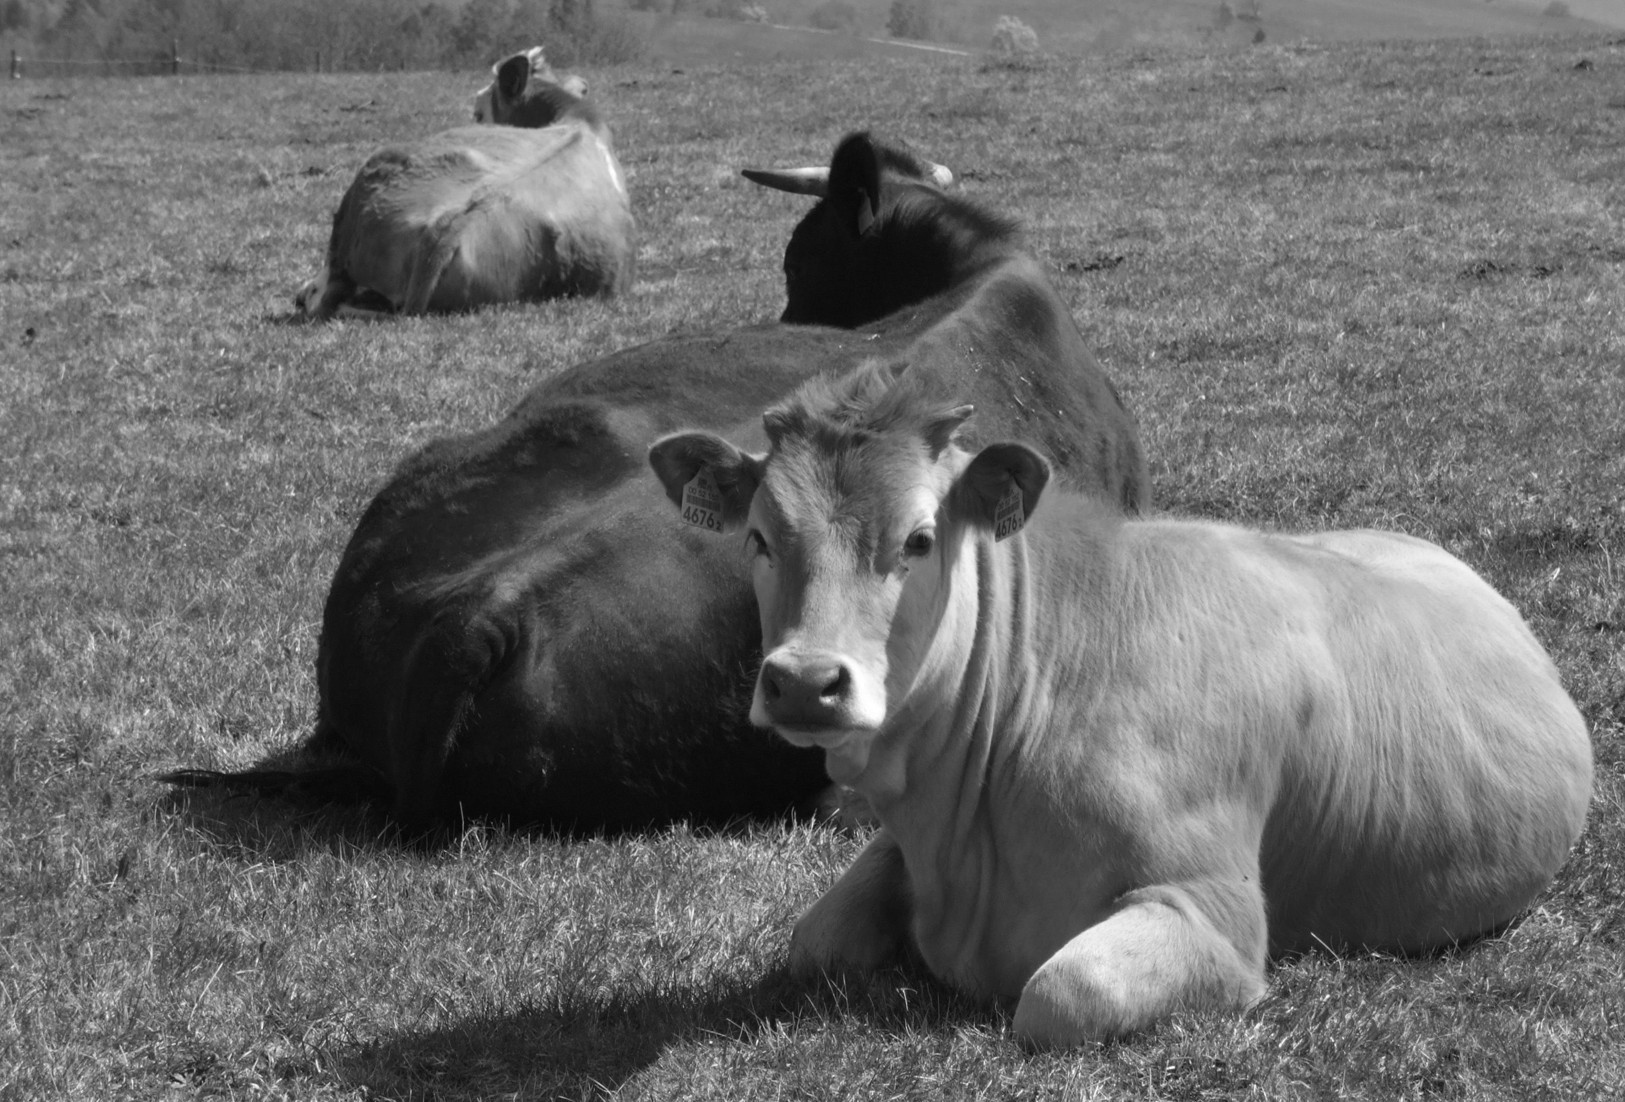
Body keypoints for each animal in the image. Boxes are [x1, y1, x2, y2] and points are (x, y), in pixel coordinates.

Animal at [647, 360, 1594, 1045]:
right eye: (759, 538)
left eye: (917, 540)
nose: (805, 680)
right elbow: (814, 942)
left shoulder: (1214, 913)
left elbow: (1062, 993)